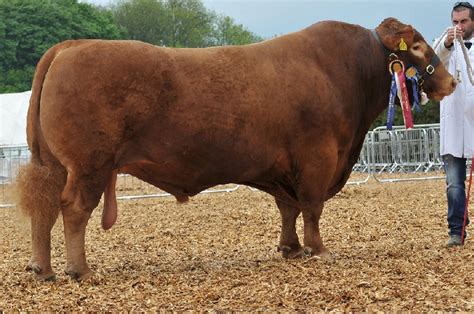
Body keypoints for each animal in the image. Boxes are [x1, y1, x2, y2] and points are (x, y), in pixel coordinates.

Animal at [17, 18, 456, 280]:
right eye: (418, 46)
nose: (451, 82)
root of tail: (71, 45)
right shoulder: (318, 157)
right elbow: (312, 207)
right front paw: (318, 249)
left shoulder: (284, 167)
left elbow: (289, 207)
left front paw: (290, 248)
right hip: (89, 164)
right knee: (74, 208)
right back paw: (80, 270)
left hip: (53, 162)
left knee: (44, 206)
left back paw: (42, 268)